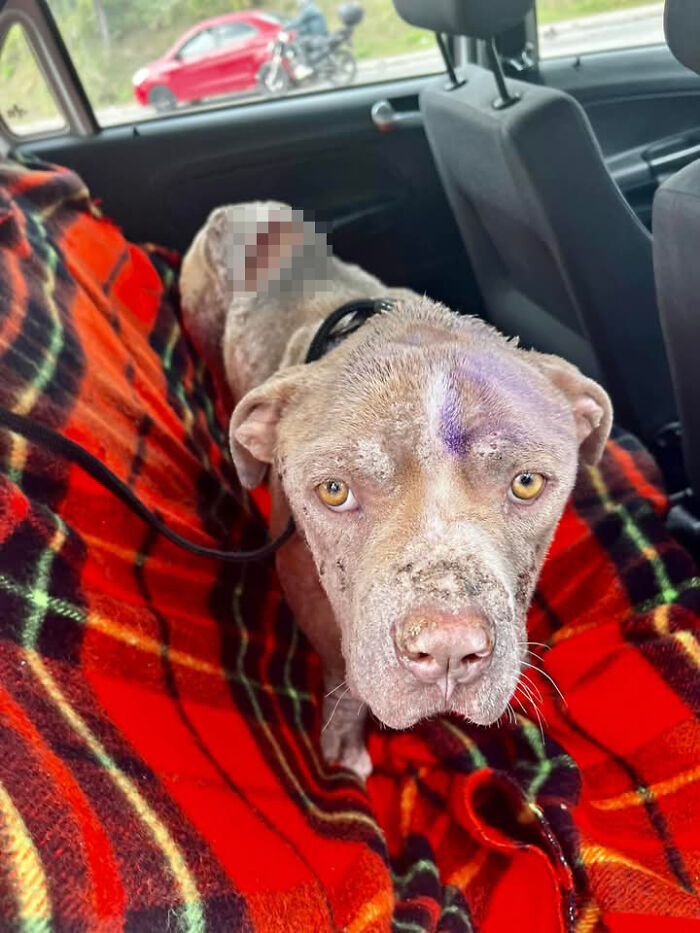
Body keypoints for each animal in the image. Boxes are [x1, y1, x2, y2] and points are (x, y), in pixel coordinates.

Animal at [180, 204, 612, 780]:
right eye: (334, 491)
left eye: (527, 483)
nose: (449, 649)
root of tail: (242, 207)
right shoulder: (315, 606)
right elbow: (343, 678)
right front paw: (343, 744)